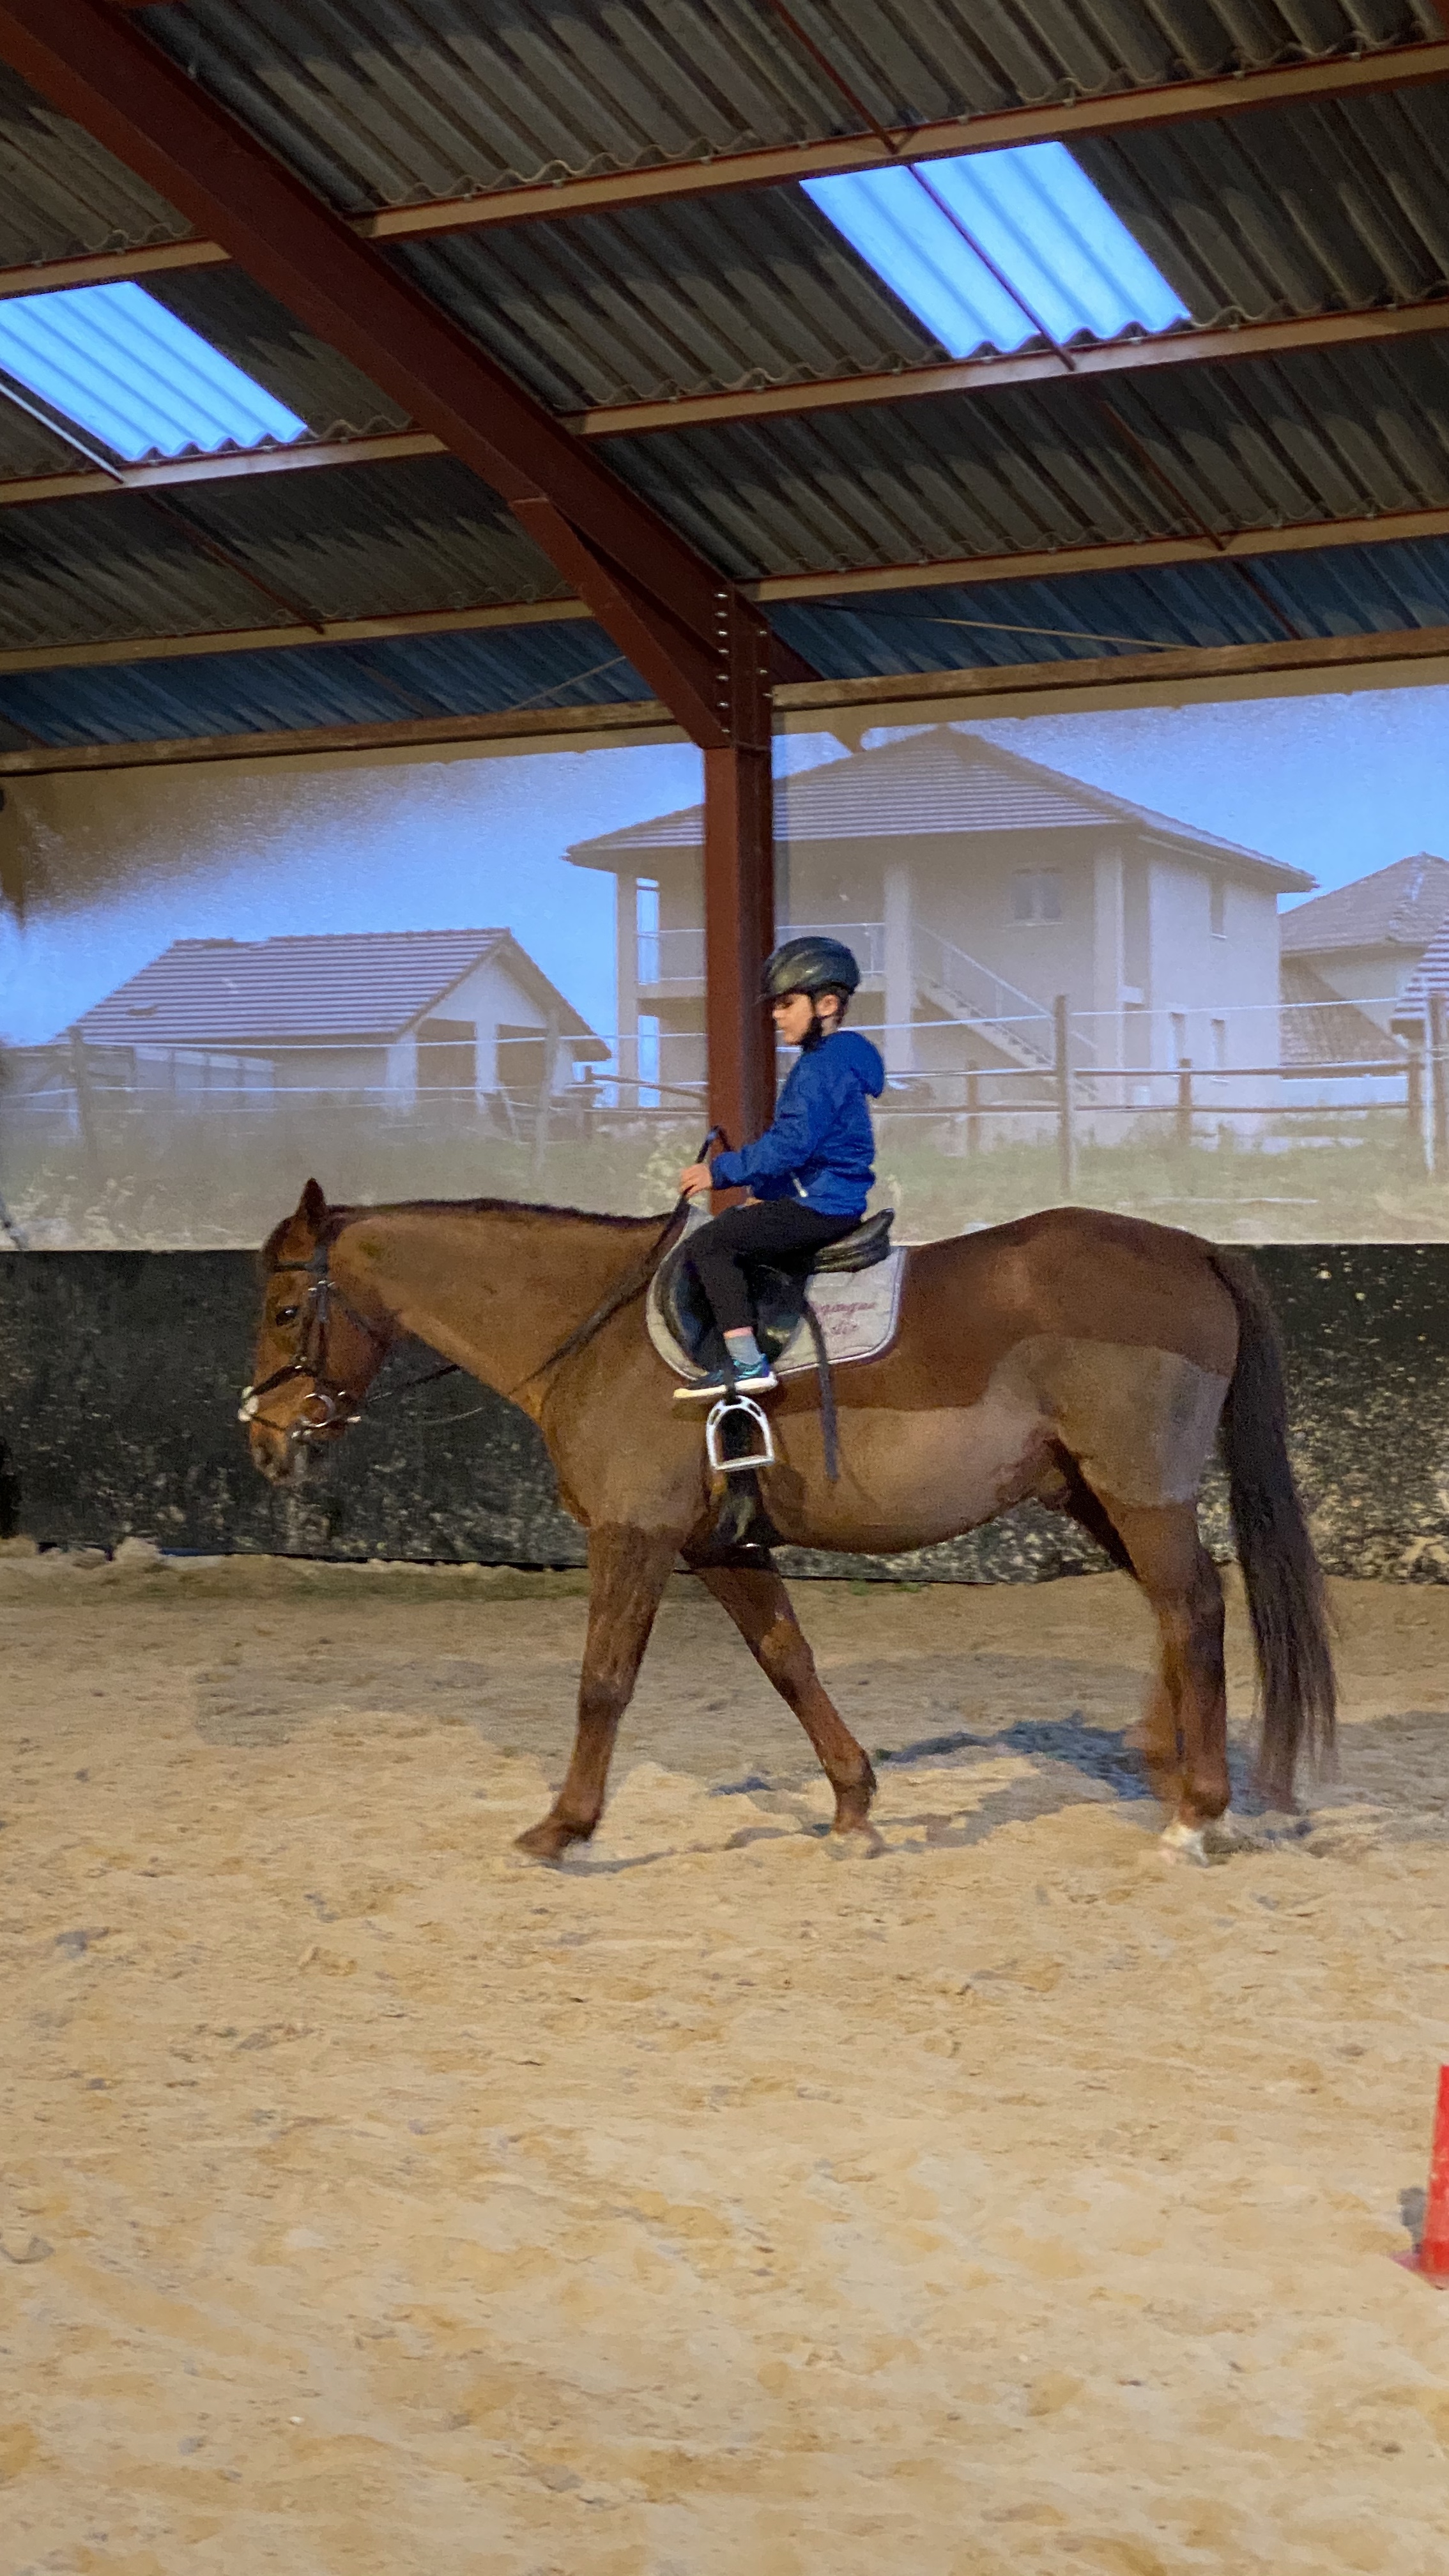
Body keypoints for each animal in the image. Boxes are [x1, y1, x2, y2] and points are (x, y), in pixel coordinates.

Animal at [243, 1179, 1334, 1864]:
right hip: (1091, 1493)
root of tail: (1189, 1247)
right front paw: (853, 1806)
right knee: (1174, 1611)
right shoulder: (719, 1544)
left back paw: (1198, 1814)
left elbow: (604, 1683)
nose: (263, 1439)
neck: (596, 1332)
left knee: (1192, 1608)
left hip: (1138, 1490)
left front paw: (564, 1827)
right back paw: (1165, 1765)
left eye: (287, 1309)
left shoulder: (634, 1536)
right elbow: (789, 1662)